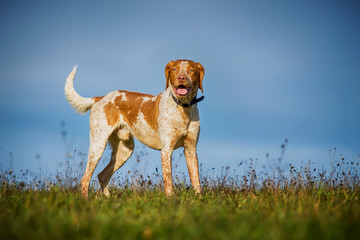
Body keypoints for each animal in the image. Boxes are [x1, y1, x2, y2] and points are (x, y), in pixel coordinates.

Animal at [65, 59, 205, 198]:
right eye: (175, 69)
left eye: (191, 70)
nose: (181, 78)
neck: (183, 108)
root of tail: (100, 98)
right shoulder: (166, 150)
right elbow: (168, 180)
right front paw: (170, 200)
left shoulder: (191, 149)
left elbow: (196, 180)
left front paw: (199, 199)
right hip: (98, 145)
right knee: (85, 179)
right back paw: (86, 200)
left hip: (125, 150)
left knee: (102, 175)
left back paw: (108, 199)